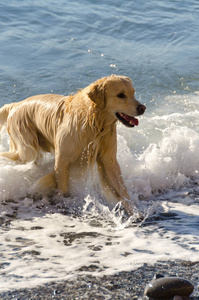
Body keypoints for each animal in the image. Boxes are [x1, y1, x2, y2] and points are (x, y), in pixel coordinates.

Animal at [0, 75, 146, 216]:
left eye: (133, 93)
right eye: (121, 95)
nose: (142, 108)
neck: (94, 122)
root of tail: (15, 104)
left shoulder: (109, 159)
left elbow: (121, 189)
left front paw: (134, 211)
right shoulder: (62, 160)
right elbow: (63, 187)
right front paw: (65, 202)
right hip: (27, 148)